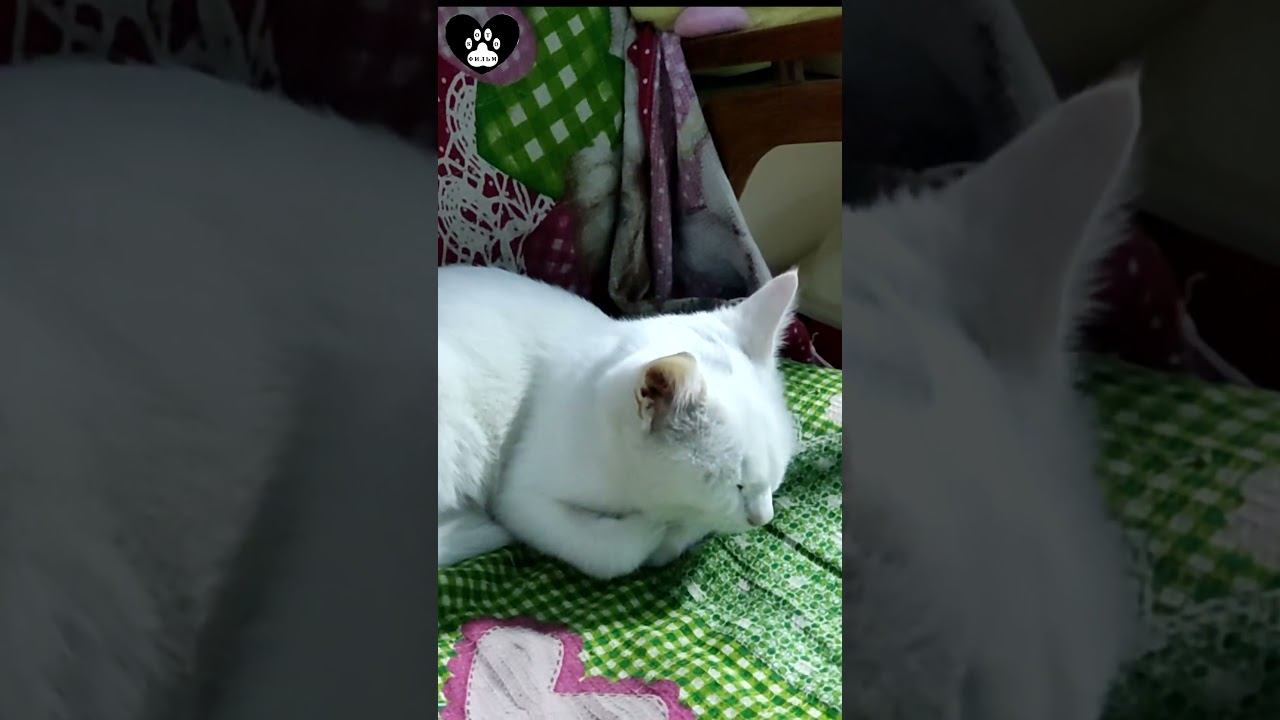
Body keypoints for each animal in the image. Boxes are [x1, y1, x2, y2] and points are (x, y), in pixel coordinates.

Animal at [438, 264, 800, 578]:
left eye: (777, 474)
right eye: (736, 484)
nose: (762, 518)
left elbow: (687, 530)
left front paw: (674, 529)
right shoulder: (521, 496)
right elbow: (613, 553)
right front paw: (653, 528)